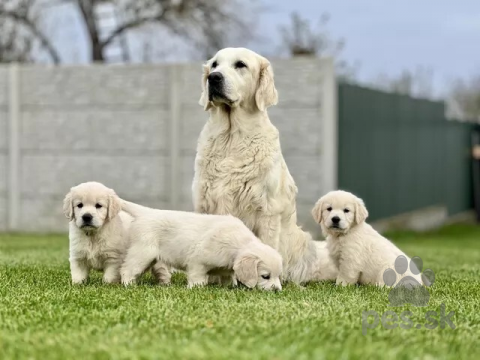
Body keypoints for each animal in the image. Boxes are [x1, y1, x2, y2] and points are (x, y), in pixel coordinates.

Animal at [120, 201, 284, 292]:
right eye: (265, 276)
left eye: (278, 276)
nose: (277, 290)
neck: (236, 243)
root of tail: (147, 212)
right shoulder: (198, 261)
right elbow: (196, 277)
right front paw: (196, 288)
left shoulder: (226, 269)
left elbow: (228, 277)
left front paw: (229, 287)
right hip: (143, 252)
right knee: (127, 269)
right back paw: (129, 285)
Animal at [192, 47, 338, 284]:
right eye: (214, 65)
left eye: (240, 65)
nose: (214, 78)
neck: (231, 138)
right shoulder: (204, 204)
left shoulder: (267, 210)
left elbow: (266, 246)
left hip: (302, 240)